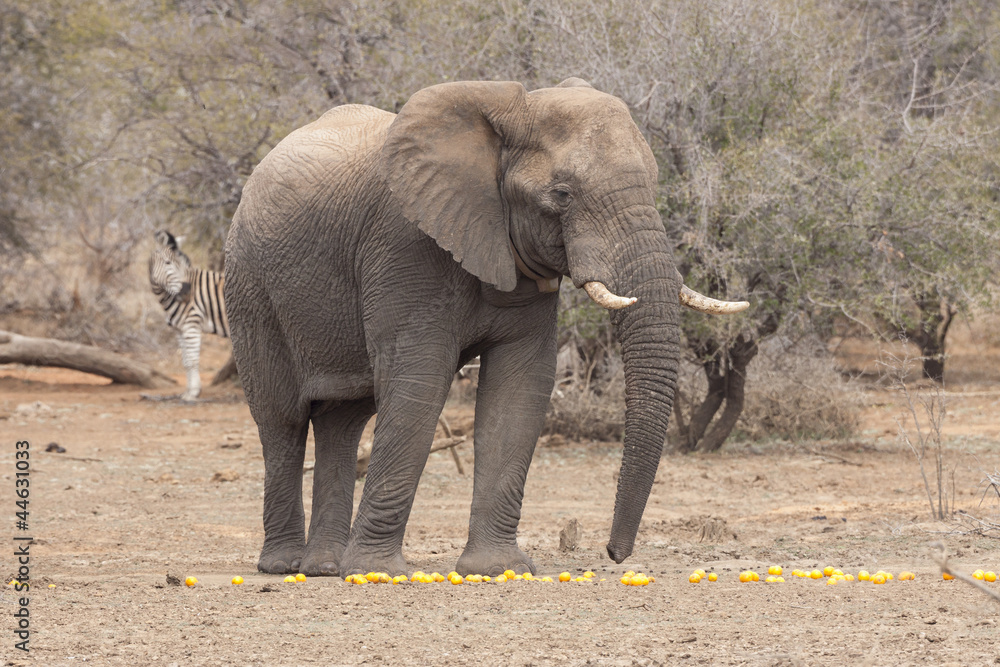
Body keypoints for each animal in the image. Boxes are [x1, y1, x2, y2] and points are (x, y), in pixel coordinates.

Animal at [224, 78, 747, 578]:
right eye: (562, 194)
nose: (614, 553)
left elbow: (519, 389)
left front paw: (497, 569)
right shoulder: (404, 246)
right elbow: (419, 384)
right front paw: (376, 572)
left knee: (343, 420)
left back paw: (324, 568)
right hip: (249, 288)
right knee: (283, 420)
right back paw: (285, 565)